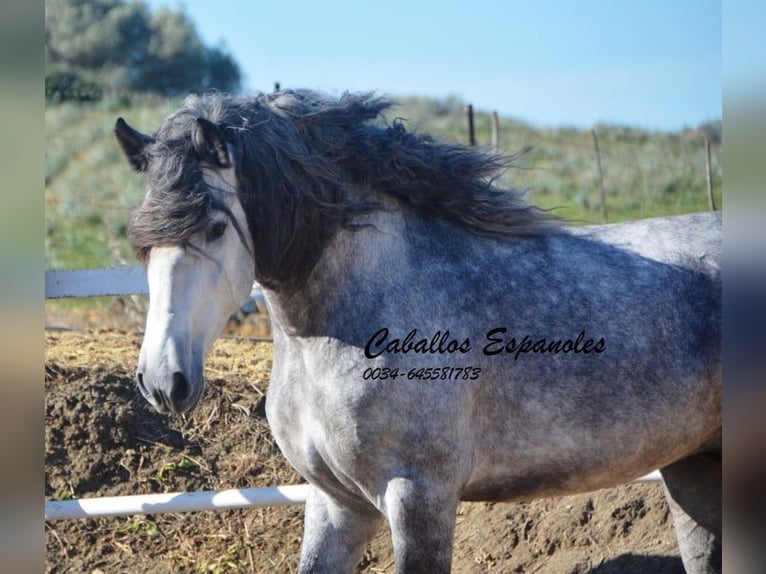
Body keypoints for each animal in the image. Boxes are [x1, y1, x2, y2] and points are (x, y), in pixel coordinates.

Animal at [115, 90, 728, 574]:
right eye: (139, 240)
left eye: (216, 228)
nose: (163, 381)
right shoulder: (336, 504)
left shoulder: (418, 497)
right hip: (692, 466)